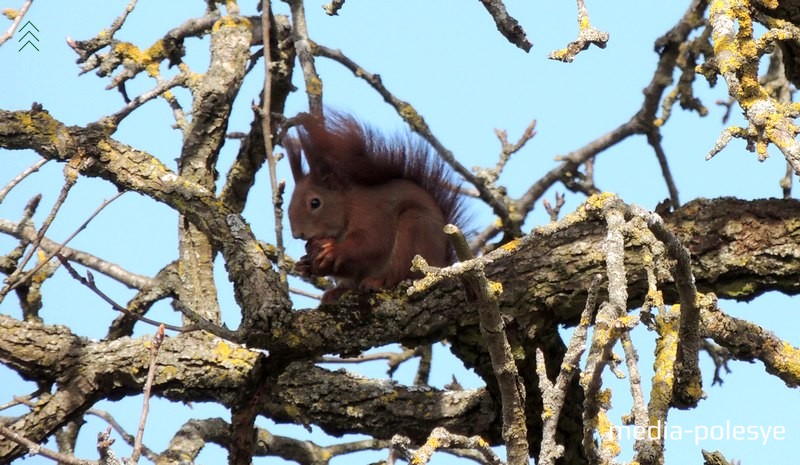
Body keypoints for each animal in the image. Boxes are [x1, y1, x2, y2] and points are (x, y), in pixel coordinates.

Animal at [286, 112, 462, 300]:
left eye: (315, 203)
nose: (297, 234)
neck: (348, 205)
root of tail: (441, 264)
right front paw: (305, 265)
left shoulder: (372, 214)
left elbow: (371, 244)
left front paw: (335, 250)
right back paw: (337, 292)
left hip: (414, 230)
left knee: (399, 272)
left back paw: (378, 281)